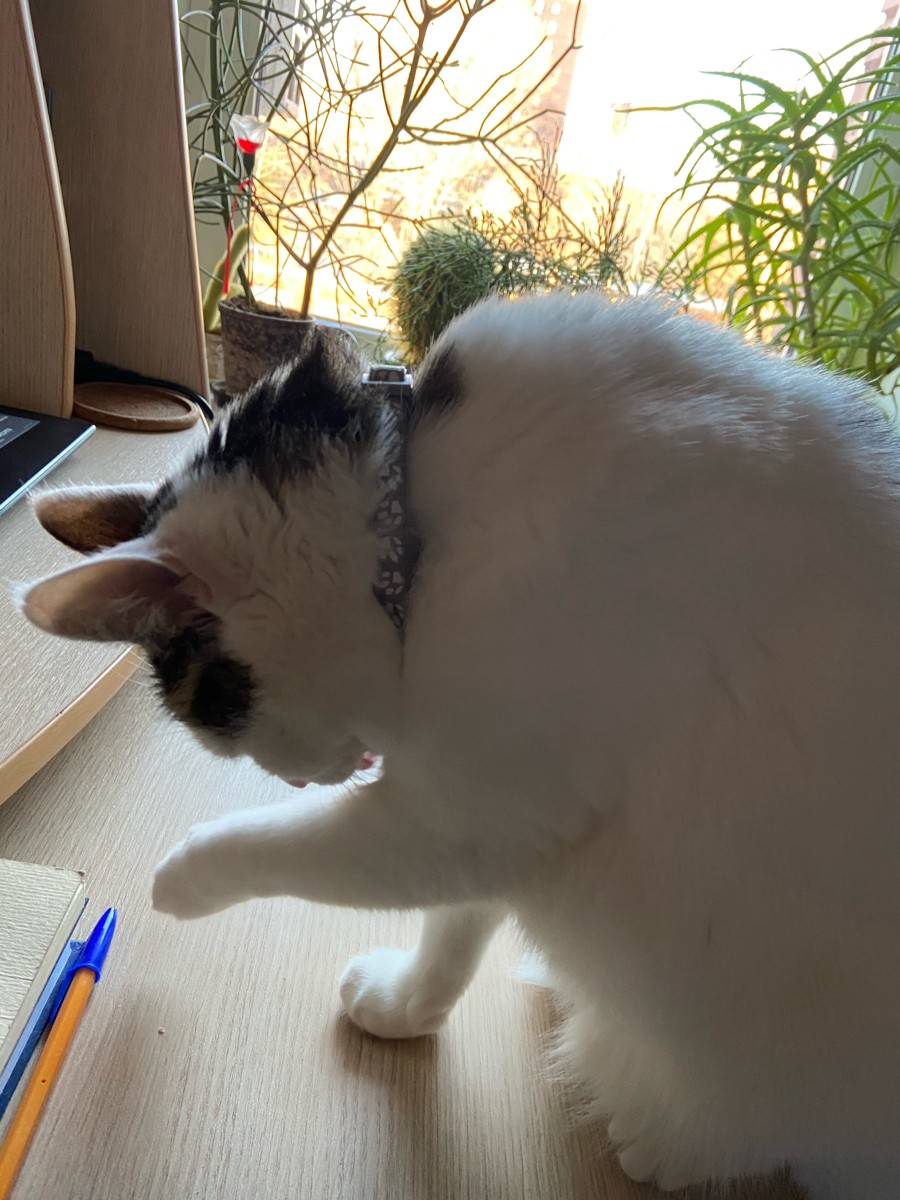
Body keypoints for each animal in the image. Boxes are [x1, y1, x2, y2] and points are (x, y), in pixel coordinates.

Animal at [19, 293, 900, 1199]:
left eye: (220, 730)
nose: (296, 781)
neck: (414, 512)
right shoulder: (489, 819)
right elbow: (450, 933)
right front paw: (404, 1007)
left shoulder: (458, 818)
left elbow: (271, 848)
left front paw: (177, 879)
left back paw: (655, 1132)